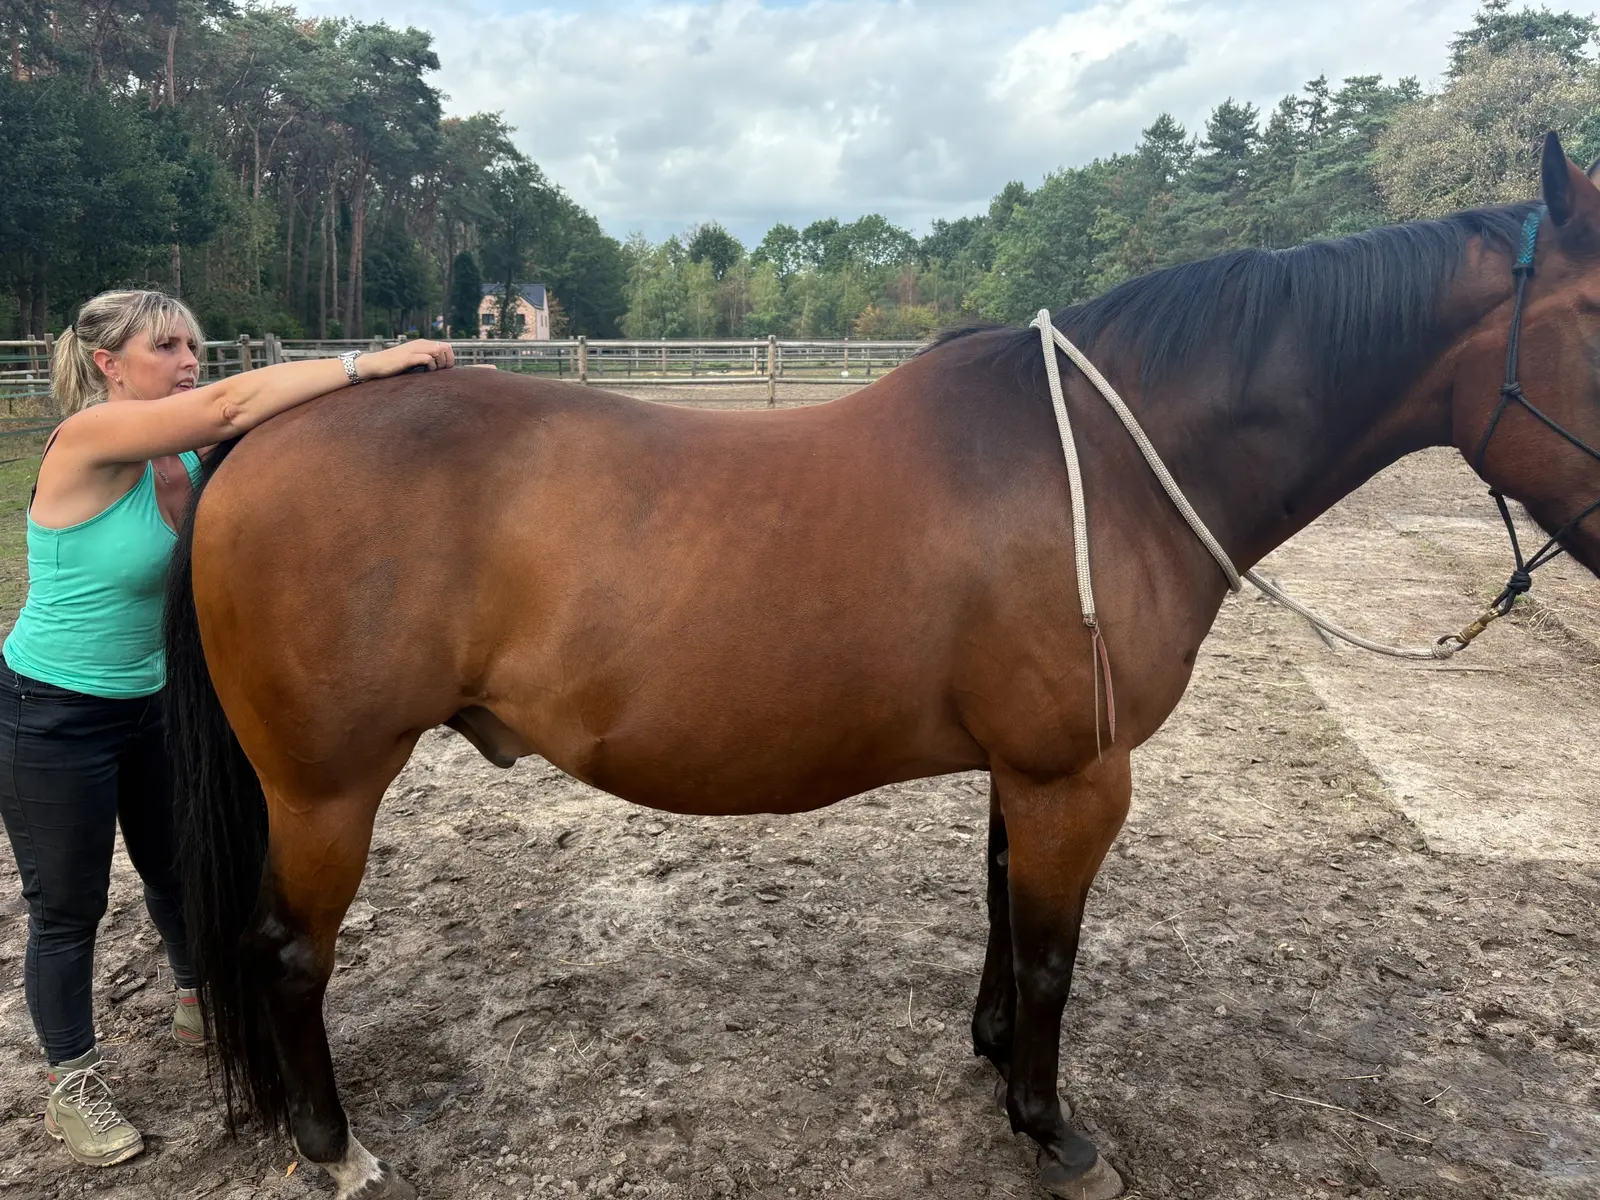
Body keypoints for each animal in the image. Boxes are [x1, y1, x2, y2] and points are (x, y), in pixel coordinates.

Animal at [165, 133, 1600, 1200]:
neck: (1111, 464)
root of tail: (258, 434)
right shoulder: (1079, 779)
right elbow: (1050, 953)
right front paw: (1050, 1129)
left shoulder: (1031, 774)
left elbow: (1003, 913)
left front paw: (994, 1068)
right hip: (327, 792)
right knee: (287, 953)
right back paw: (333, 1148)